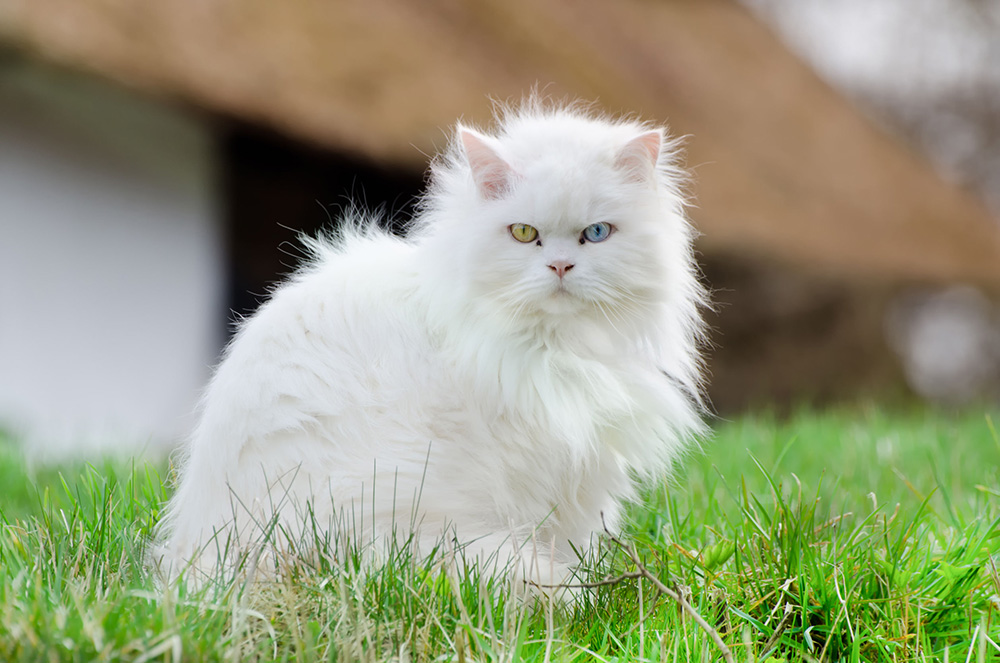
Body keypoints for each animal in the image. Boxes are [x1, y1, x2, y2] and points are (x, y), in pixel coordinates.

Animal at [152, 100, 708, 592]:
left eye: (596, 233)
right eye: (523, 233)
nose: (560, 267)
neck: (557, 348)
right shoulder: (541, 468)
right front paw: (578, 589)